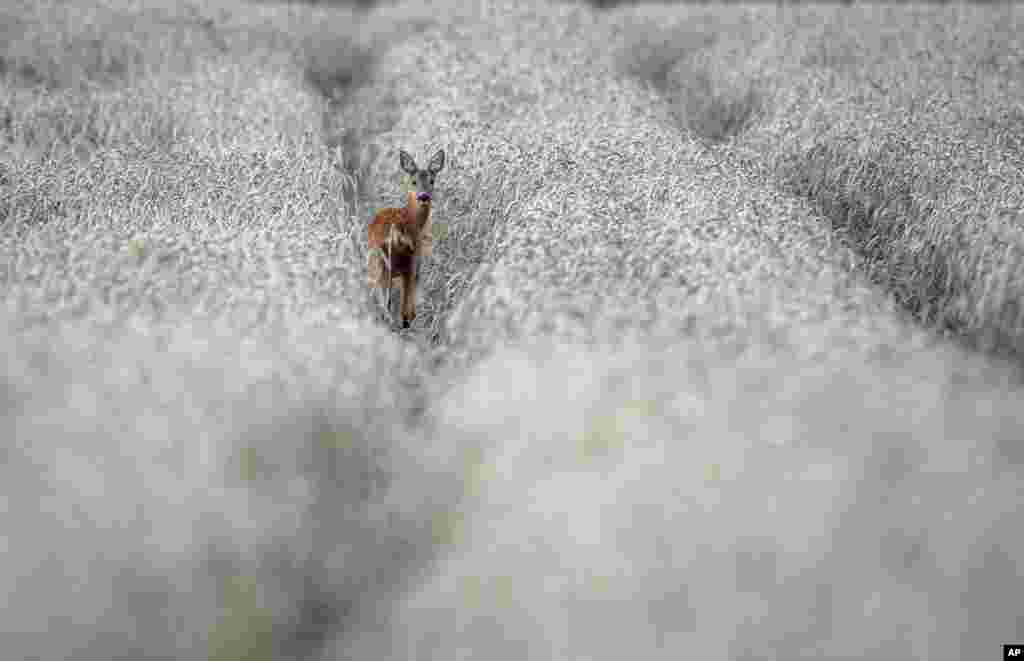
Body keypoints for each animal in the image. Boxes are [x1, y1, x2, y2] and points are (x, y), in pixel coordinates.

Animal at [367, 148, 445, 329]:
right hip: (407, 263)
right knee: (400, 309)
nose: (423, 196)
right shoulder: (417, 262)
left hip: (377, 263)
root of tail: (394, 232)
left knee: (381, 301)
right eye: (413, 181)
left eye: (432, 181)